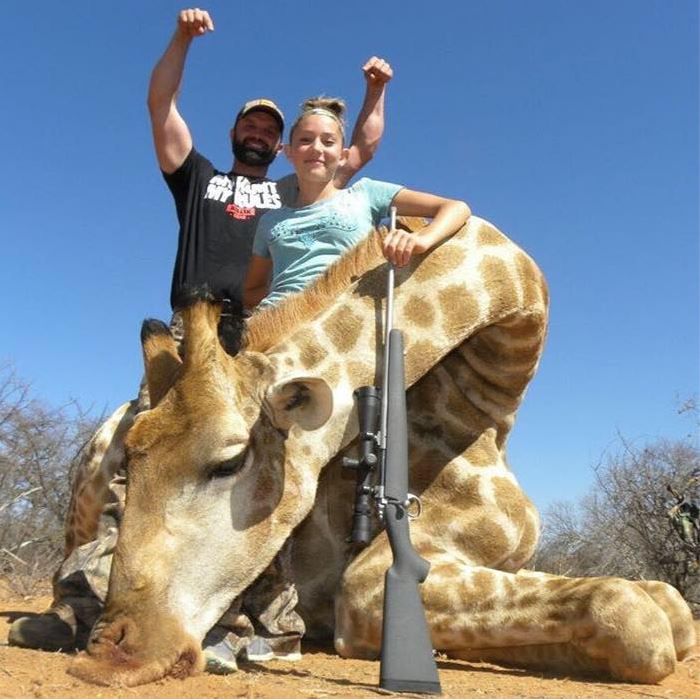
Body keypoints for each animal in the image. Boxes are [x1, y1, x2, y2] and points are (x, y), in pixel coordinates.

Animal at [65, 216, 696, 688]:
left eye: (228, 461)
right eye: (131, 466)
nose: (108, 655)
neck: (488, 419)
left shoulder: (503, 563)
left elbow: (669, 608)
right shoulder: (366, 589)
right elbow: (633, 614)